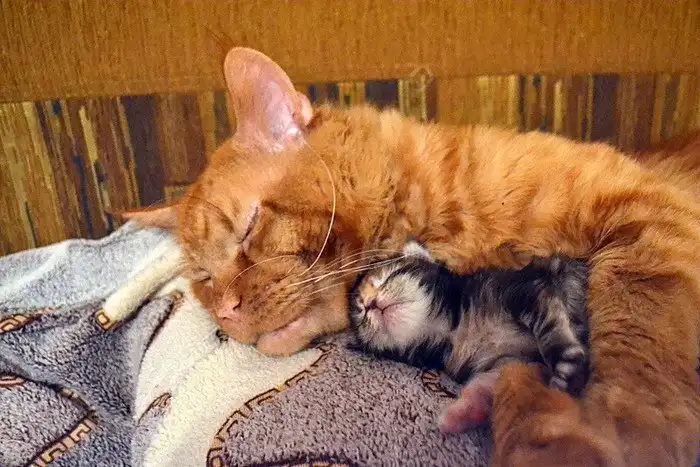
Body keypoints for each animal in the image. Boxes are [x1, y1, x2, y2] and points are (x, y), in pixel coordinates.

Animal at [348, 241, 590, 396]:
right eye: (360, 312)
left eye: (388, 276)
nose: (370, 303)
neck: (458, 328)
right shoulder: (501, 362)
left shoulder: (526, 288)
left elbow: (549, 323)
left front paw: (565, 360)